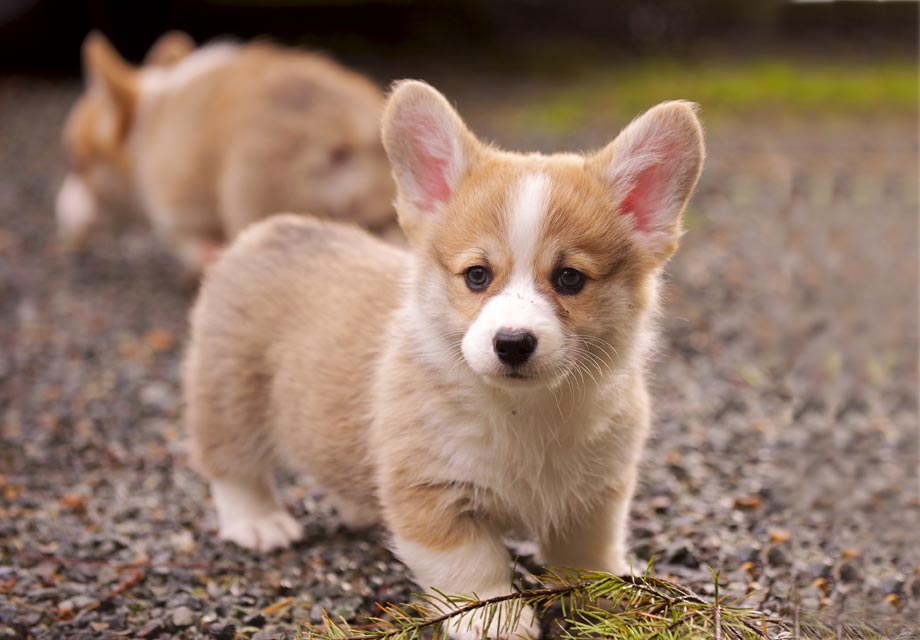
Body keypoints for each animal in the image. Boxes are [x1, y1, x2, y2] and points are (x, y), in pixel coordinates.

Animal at [185, 81, 704, 640]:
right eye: (477, 275)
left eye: (569, 279)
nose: (513, 342)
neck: (526, 411)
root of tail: (272, 229)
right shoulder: (433, 495)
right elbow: (472, 569)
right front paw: (496, 621)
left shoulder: (595, 494)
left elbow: (589, 556)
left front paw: (609, 598)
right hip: (229, 395)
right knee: (231, 465)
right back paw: (259, 523)